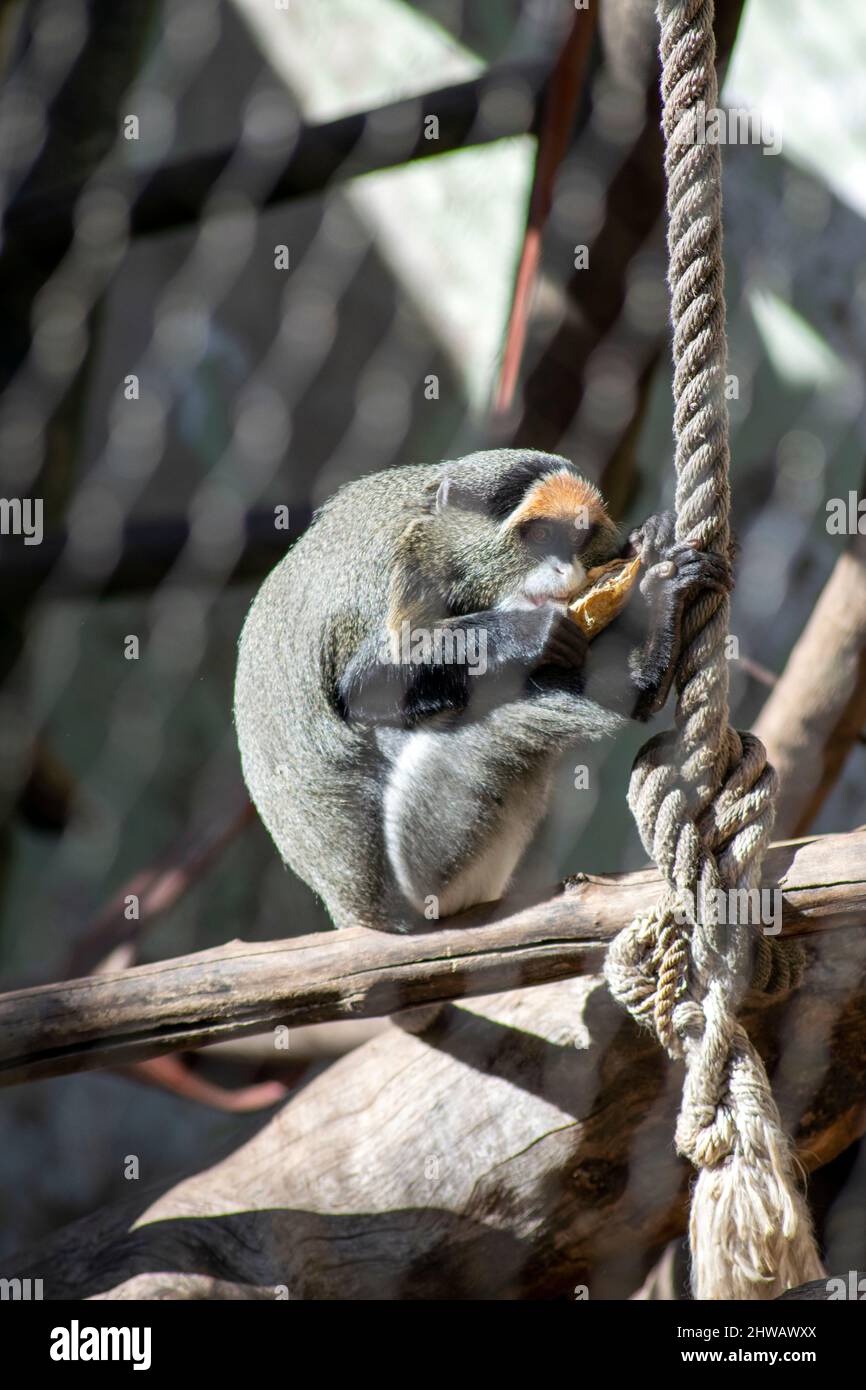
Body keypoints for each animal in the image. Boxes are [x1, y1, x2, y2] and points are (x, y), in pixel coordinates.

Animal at [234, 449, 731, 934]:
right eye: (540, 534)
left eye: (577, 536)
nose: (564, 567)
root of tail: (360, 913)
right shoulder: (398, 577)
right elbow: (366, 686)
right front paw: (530, 633)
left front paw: (646, 542)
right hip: (427, 866)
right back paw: (650, 657)